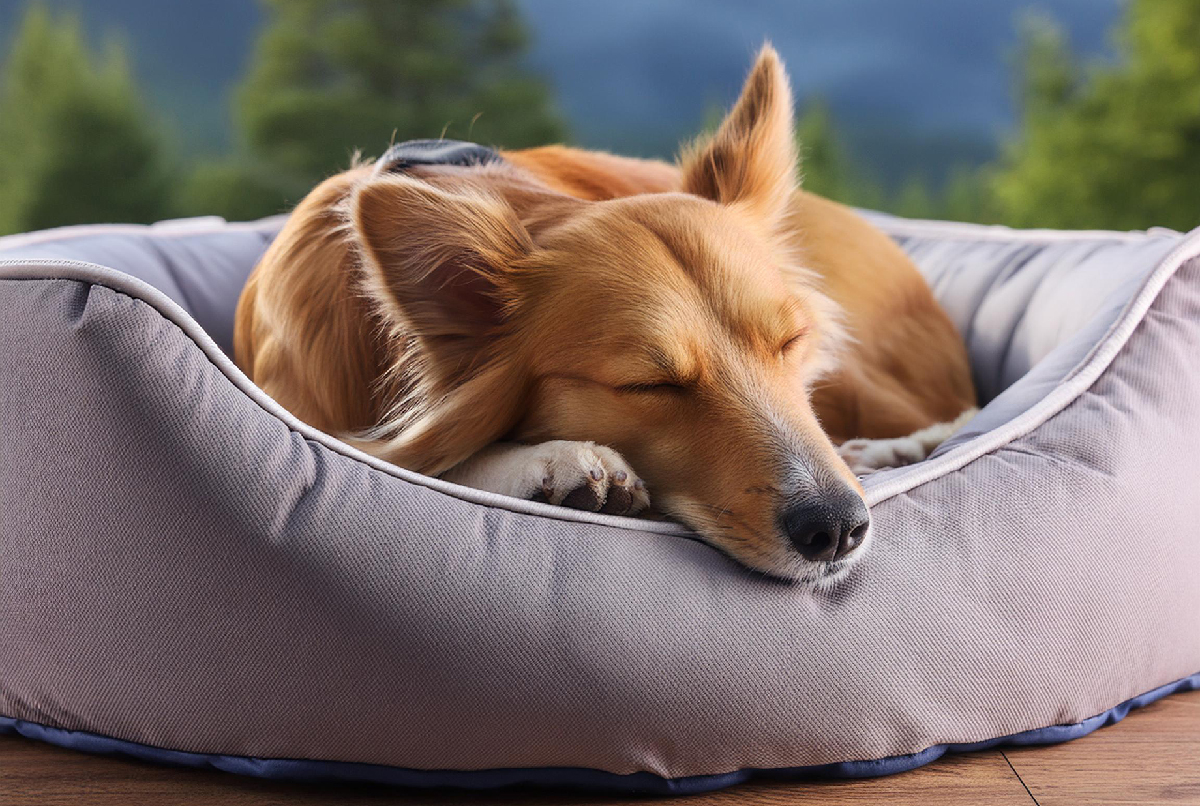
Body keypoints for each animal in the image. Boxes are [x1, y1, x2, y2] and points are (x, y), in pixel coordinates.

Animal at [231, 45, 974, 585]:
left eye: (790, 342)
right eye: (650, 385)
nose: (839, 528)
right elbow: (411, 461)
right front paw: (551, 463)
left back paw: (890, 449)